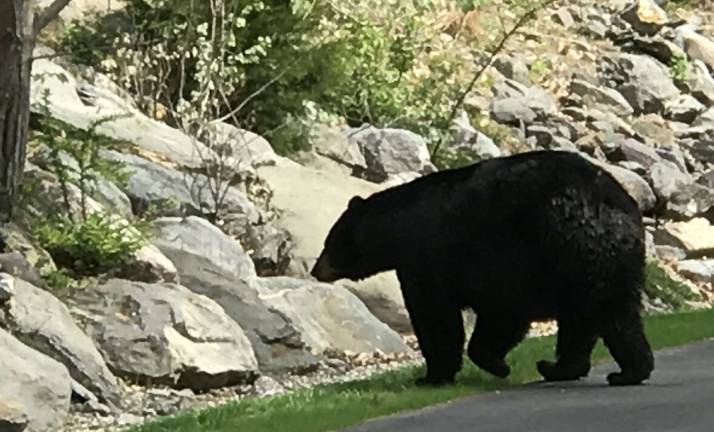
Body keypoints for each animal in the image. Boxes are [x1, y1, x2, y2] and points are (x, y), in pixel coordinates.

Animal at [308, 150, 652, 386]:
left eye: (328, 242)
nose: (315, 270)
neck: (400, 229)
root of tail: (619, 210)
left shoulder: (437, 260)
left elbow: (441, 317)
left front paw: (441, 373)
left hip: (571, 249)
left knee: (606, 314)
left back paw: (615, 372)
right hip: (600, 263)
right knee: (595, 317)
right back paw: (573, 368)